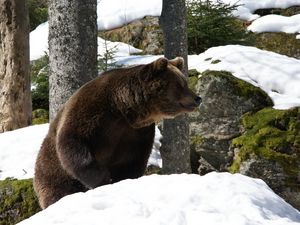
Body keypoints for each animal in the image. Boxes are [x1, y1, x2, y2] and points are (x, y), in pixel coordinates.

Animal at [33, 56, 202, 209]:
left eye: (185, 82)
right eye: (180, 84)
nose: (197, 98)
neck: (123, 109)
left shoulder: (136, 133)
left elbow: (133, 161)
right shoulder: (90, 113)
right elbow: (73, 144)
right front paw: (103, 179)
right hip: (52, 174)